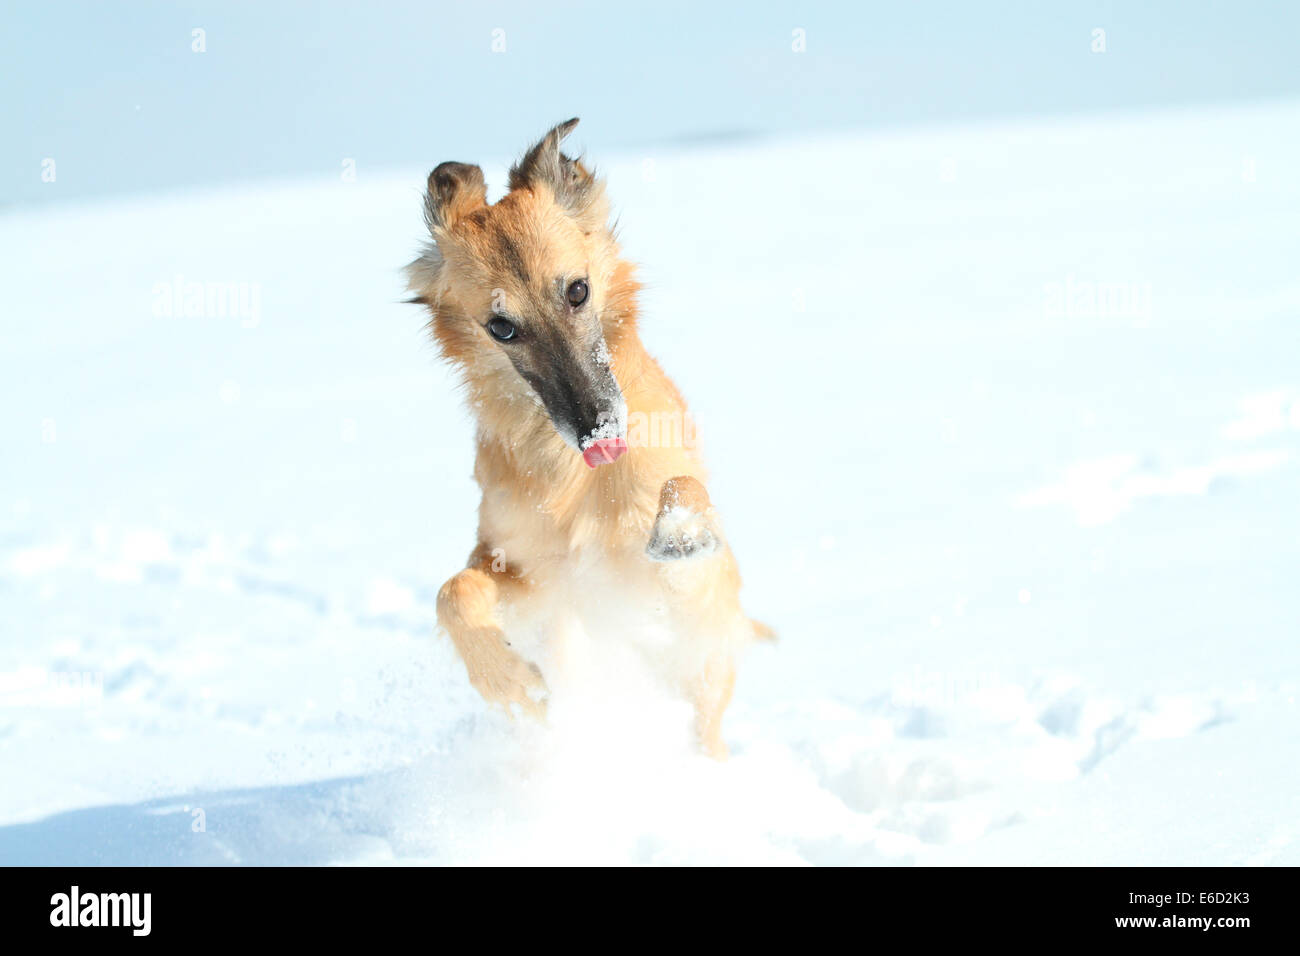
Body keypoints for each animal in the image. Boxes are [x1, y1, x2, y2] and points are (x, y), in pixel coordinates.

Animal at [408, 117, 769, 754]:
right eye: (501, 327)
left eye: (577, 290)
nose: (599, 429)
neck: (572, 477)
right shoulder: (533, 577)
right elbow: (453, 593)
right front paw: (511, 683)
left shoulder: (671, 596)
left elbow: (682, 493)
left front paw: (681, 531)